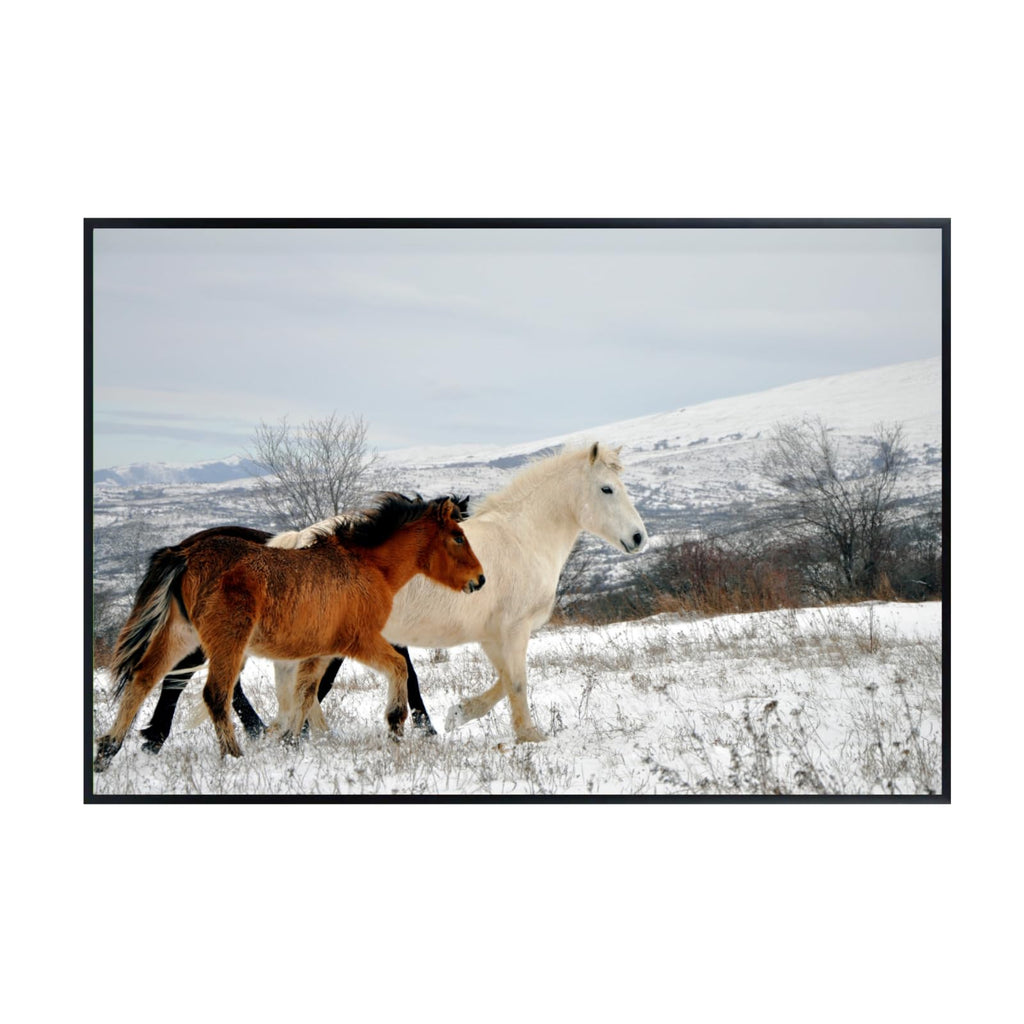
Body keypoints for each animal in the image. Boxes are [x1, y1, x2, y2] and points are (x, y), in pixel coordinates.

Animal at [93, 494, 485, 770]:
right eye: (457, 537)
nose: (479, 580)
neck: (367, 566)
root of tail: (184, 553)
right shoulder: (361, 641)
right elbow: (400, 671)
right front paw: (397, 725)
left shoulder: (320, 651)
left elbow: (305, 692)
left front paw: (291, 742)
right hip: (226, 641)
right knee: (214, 693)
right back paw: (233, 755)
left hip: (181, 635)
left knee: (144, 679)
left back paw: (109, 751)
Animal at [257, 442, 647, 743]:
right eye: (607, 489)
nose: (639, 537)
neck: (522, 538)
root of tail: (296, 541)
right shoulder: (514, 630)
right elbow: (517, 683)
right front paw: (529, 735)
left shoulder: (492, 635)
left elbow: (503, 682)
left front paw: (458, 714)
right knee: (303, 686)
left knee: (299, 686)